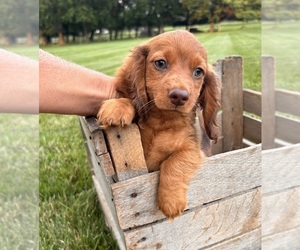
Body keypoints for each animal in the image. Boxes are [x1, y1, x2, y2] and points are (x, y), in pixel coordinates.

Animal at [98, 30, 220, 220]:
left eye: (198, 71)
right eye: (161, 63)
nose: (179, 96)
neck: (162, 121)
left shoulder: (192, 150)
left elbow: (175, 162)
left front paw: (171, 201)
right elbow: (131, 101)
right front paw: (118, 106)